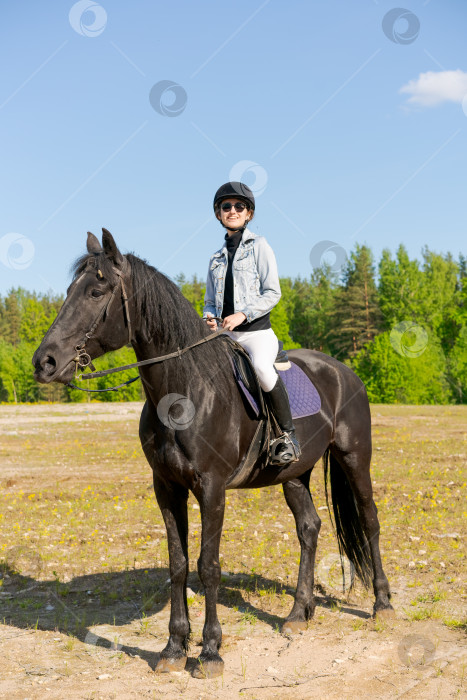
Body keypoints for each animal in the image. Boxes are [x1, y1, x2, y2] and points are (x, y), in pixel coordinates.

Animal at [33, 230, 394, 680]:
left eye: (96, 292)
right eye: (69, 291)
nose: (44, 362)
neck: (183, 391)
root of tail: (344, 371)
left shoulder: (212, 488)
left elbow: (208, 565)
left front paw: (209, 652)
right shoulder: (167, 488)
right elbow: (178, 564)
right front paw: (173, 648)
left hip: (354, 457)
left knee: (369, 520)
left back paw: (382, 605)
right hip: (294, 473)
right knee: (309, 529)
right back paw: (298, 613)